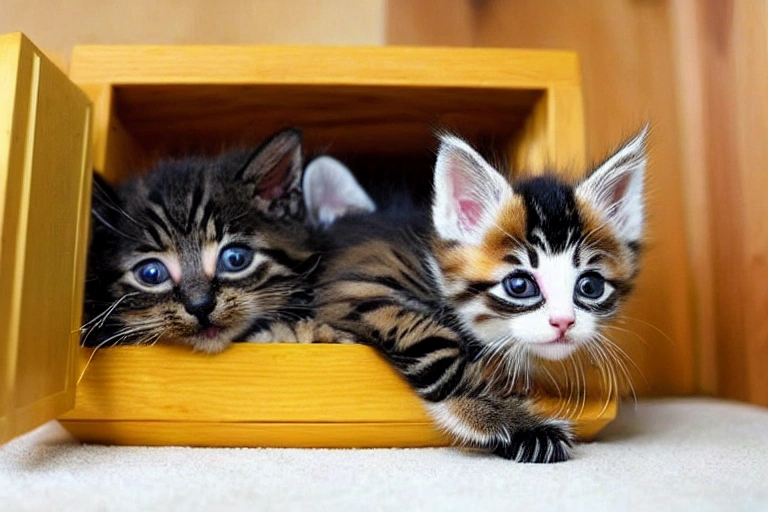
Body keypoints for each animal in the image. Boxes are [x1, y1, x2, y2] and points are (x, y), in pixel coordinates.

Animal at [306, 126, 648, 462]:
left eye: (590, 286)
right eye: (519, 285)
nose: (563, 321)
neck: (433, 261)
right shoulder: (356, 287)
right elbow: (438, 348)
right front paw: (516, 423)